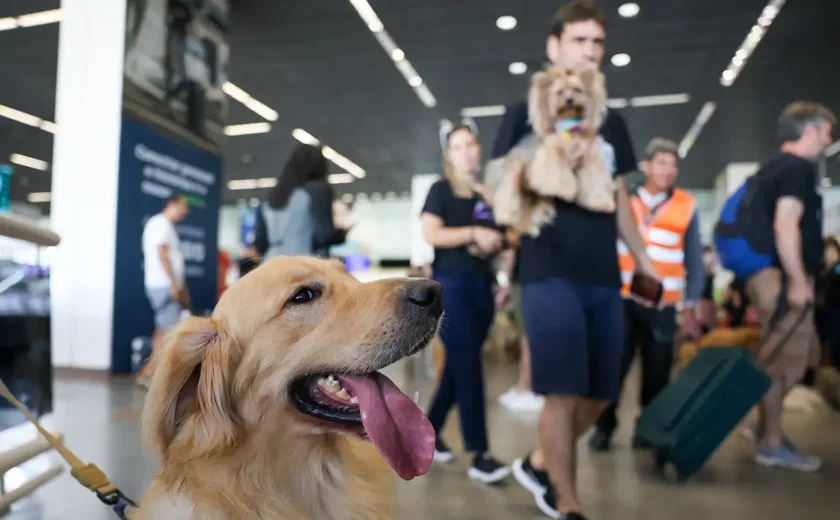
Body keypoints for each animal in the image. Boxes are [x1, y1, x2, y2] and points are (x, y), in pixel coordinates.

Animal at [496, 63, 612, 236]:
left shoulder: (589, 158)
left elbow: (594, 181)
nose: (569, 100)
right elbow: (558, 176)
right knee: (507, 194)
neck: (570, 126)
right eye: (560, 92)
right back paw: (506, 215)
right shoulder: (553, 154)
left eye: (577, 89)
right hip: (515, 171)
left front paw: (601, 203)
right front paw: (565, 191)